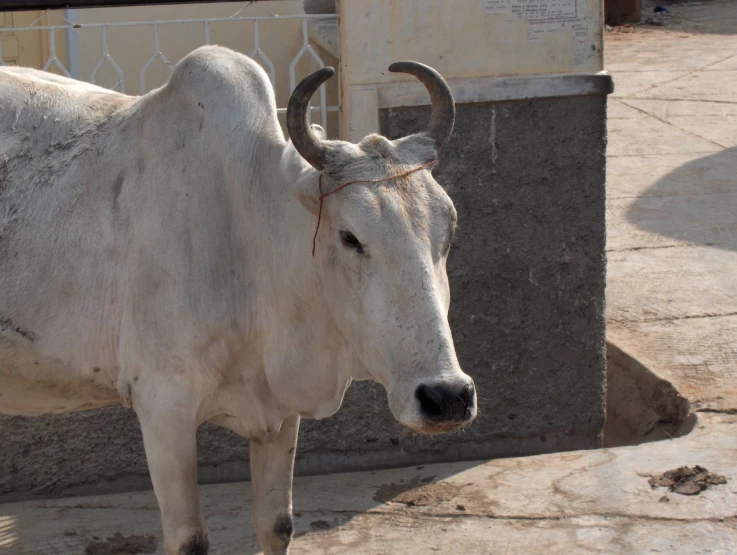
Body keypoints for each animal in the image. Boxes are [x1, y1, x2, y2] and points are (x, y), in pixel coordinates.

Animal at [0, 46, 478, 555]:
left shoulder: (280, 412)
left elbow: (276, 523)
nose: (447, 396)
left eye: (449, 229)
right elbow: (189, 539)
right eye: (351, 237)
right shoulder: (163, 408)